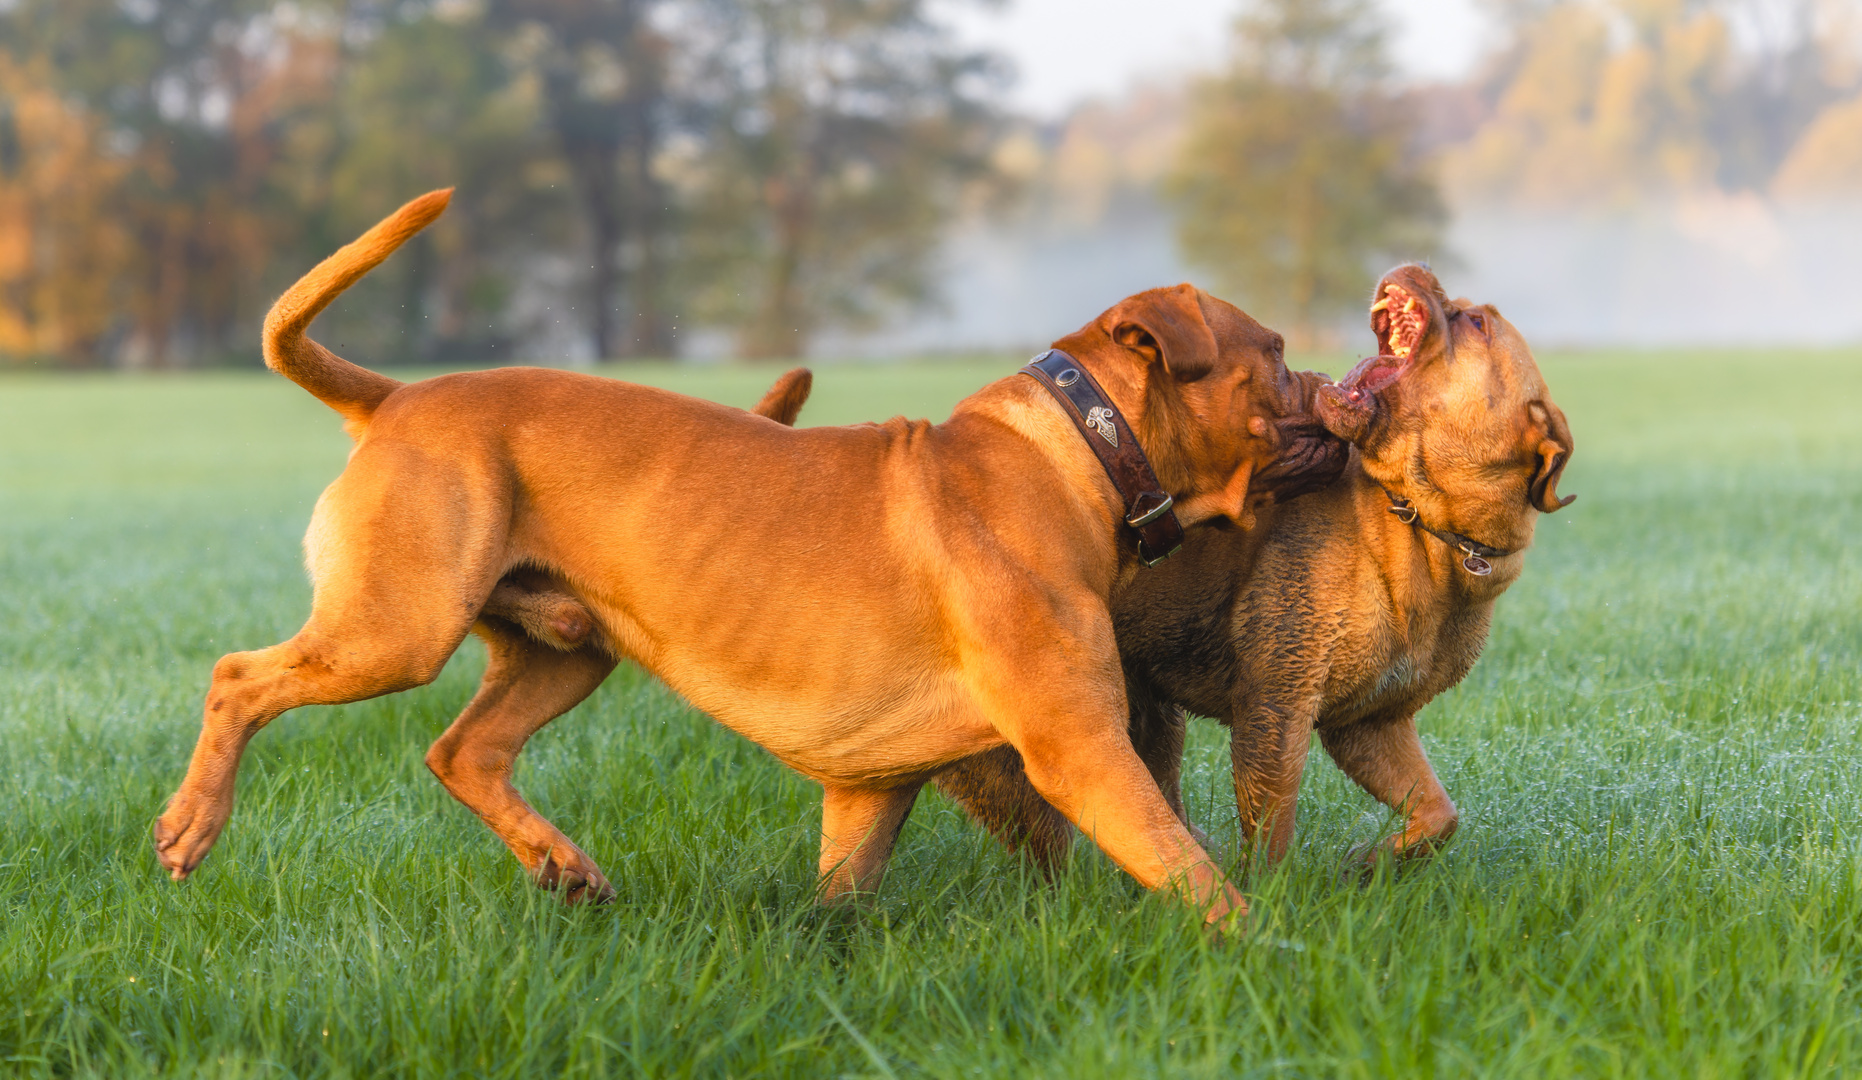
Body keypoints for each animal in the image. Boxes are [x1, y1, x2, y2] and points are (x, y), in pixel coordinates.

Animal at [148, 189, 1340, 923]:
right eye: (1275, 355)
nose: (1335, 386)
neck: (1084, 451)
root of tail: (396, 399)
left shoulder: (869, 790)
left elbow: (841, 896)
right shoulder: (1080, 748)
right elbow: (1189, 872)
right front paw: (1264, 951)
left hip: (562, 651)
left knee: (463, 752)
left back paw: (559, 863)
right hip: (393, 631)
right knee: (238, 678)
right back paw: (191, 826)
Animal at [931, 268, 1571, 867]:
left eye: (1477, 324)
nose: (1418, 267)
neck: (1430, 532)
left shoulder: (1369, 723)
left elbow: (1441, 815)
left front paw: (1368, 865)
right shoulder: (1276, 706)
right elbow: (1272, 838)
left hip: (1152, 712)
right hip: (1017, 759)